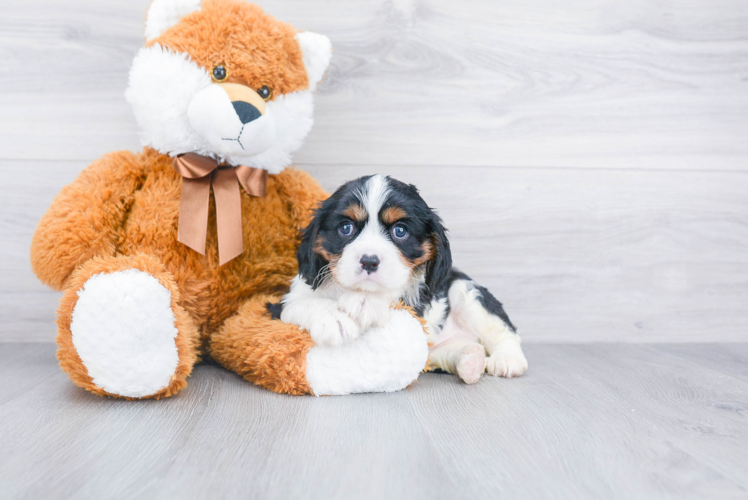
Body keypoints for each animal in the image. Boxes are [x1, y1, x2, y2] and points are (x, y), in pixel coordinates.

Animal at [278, 176, 528, 382]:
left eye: (400, 231)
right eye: (346, 227)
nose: (369, 261)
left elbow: (397, 290)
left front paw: (365, 301)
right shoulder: (284, 303)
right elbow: (306, 303)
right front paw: (334, 319)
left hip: (464, 290)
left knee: (505, 332)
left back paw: (507, 359)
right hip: (432, 350)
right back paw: (470, 360)